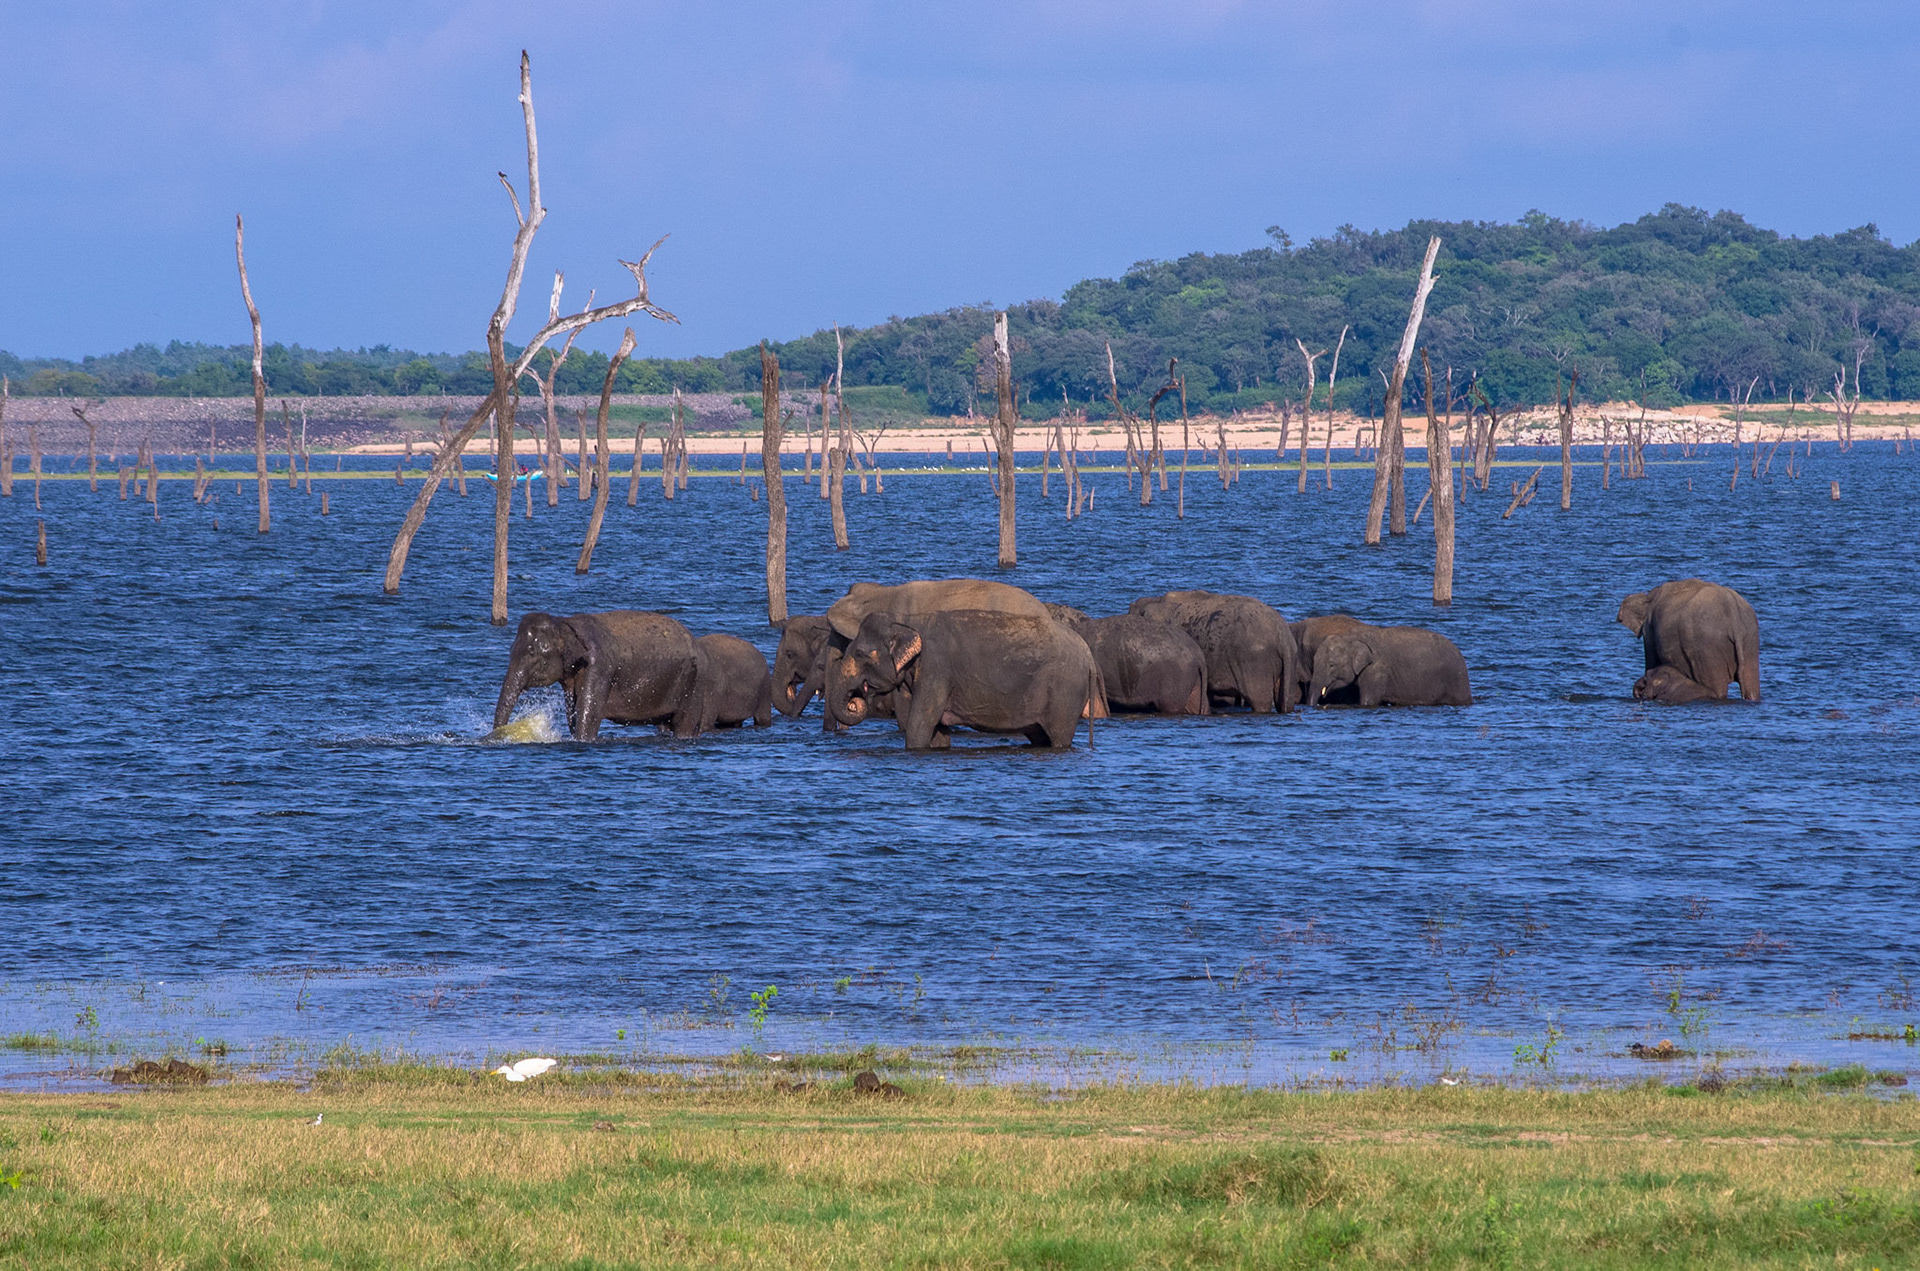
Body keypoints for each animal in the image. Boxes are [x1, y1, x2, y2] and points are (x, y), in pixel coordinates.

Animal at [494, 611, 709, 740]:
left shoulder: (600, 667)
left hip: (695, 683)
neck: (566, 623)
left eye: (532, 653)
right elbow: (573, 713)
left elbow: (588, 713)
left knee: (684, 723)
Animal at [827, 609, 1099, 750]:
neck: (908, 620)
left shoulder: (936, 669)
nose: (855, 701)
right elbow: (937, 733)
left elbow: (920, 726)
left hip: (1064, 693)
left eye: (859, 654)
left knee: (1059, 737)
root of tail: (1089, 656)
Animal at [1127, 590, 1300, 713]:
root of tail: (1283, 636)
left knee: (1259, 700)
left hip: (1255, 660)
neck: (1156, 601)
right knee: (1285, 700)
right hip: (1289, 661)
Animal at [1300, 620, 1472, 707]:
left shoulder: (1377, 671)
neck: (1352, 636)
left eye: (1331, 665)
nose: (1312, 706)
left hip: (1457, 682)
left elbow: (1367, 702)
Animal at [1617, 579, 1760, 702]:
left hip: (1707, 649)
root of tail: (1733, 615)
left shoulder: (1649, 629)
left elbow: (1651, 660)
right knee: (1750, 685)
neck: (1648, 597)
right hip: (1750, 640)